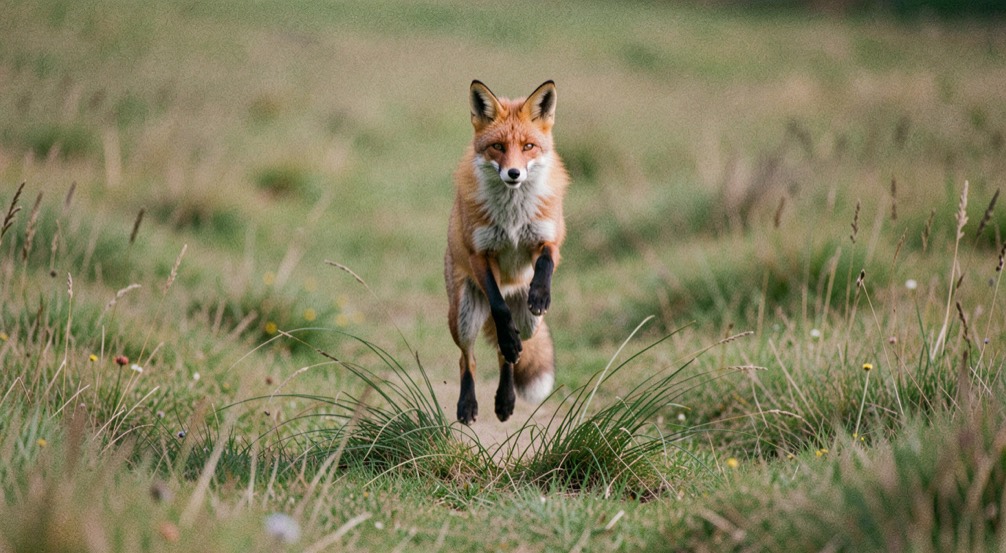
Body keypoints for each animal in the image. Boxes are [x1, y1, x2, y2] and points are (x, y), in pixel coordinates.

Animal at [445, 79, 569, 425]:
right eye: (498, 147)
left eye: (528, 146)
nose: (514, 173)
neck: (513, 215)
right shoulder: (481, 254)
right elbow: (499, 307)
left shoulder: (548, 240)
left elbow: (545, 264)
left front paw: (540, 293)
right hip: (462, 316)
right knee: (469, 358)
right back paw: (468, 405)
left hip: (529, 324)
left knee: (507, 356)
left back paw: (505, 400)